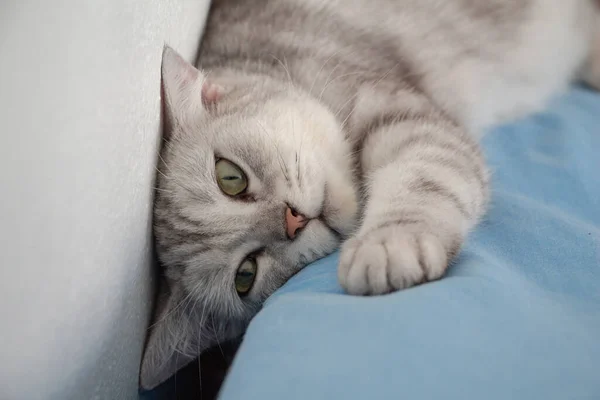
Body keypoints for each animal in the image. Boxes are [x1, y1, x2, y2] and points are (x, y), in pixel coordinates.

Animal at [141, 0, 600, 390]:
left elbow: (420, 180)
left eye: (230, 177)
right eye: (245, 276)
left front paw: (389, 245)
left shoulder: (405, 119)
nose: (292, 221)